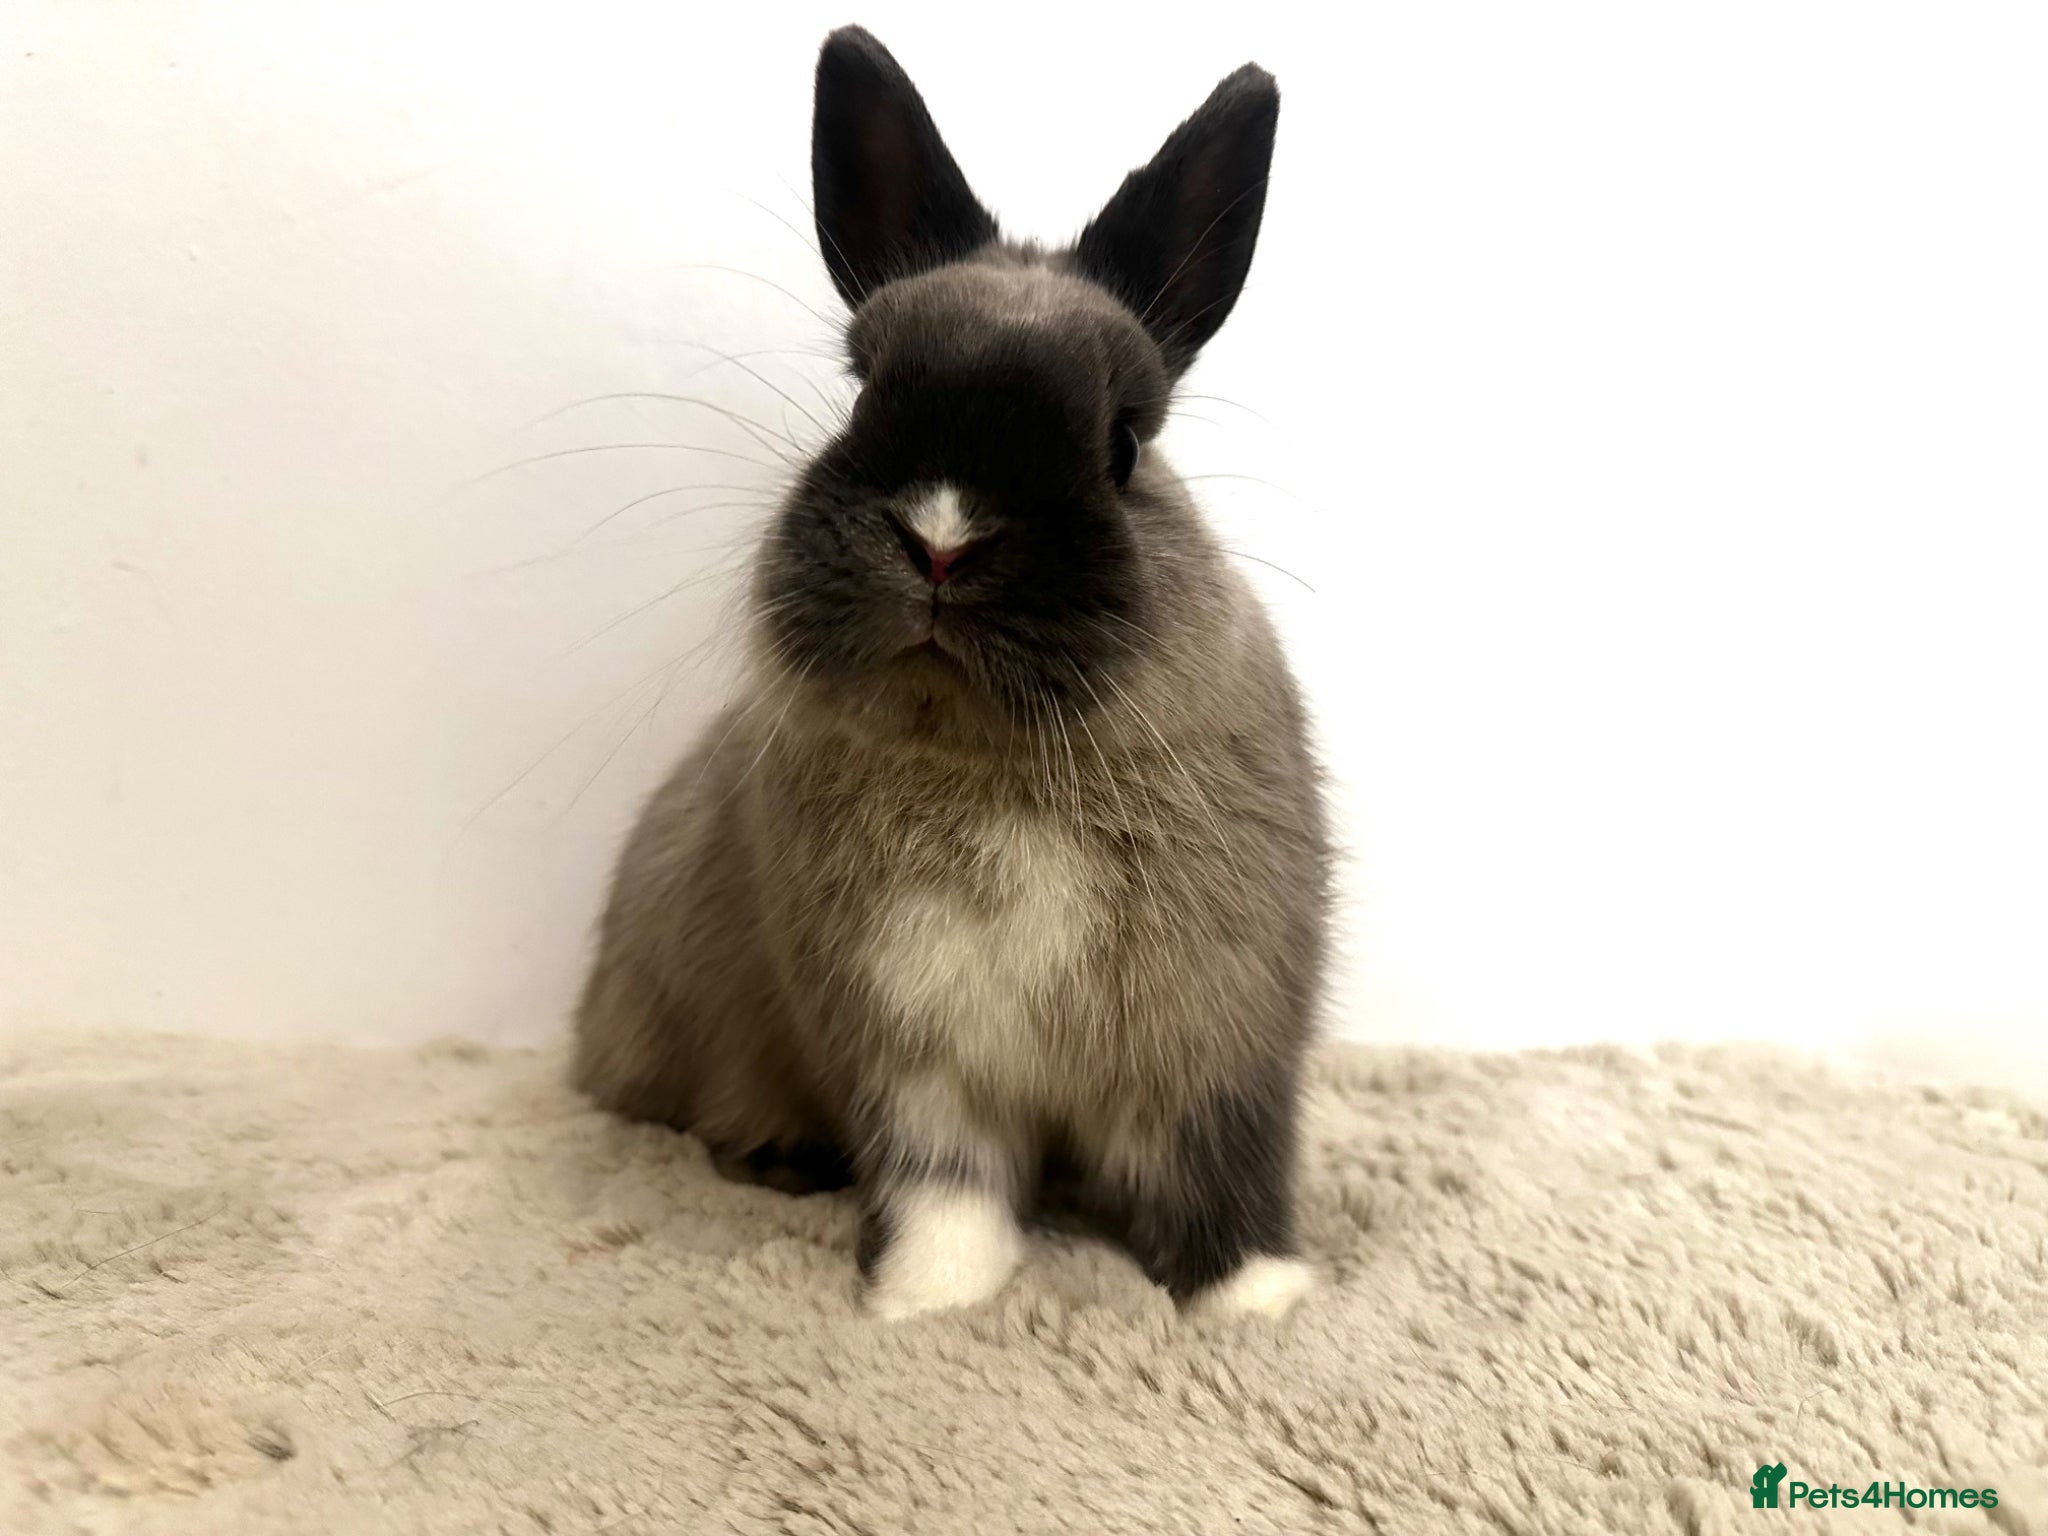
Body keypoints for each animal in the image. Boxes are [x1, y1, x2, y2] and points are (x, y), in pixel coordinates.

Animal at [572, 25, 1330, 1322]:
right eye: (862, 391)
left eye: (1124, 443)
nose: (940, 539)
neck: (987, 761)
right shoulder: (901, 1042)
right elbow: (942, 1177)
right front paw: (931, 1299)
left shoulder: (1215, 1036)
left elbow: (1216, 1166)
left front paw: (1254, 1307)